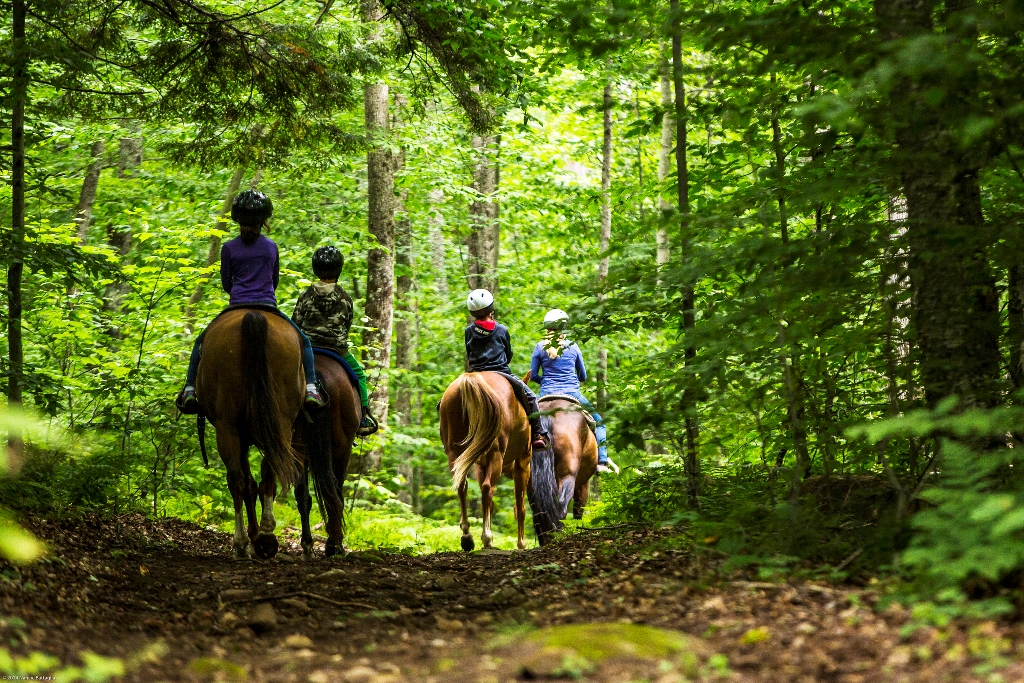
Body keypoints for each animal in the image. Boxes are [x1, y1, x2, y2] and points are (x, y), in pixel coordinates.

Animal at [195, 309, 331, 561]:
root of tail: (253, 315)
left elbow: (248, 483)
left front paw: (252, 538)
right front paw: (256, 537)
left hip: (230, 426)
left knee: (241, 478)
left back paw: (245, 541)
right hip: (277, 424)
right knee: (264, 472)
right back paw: (265, 537)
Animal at [290, 356, 362, 557]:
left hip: (297, 447)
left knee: (303, 497)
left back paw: (307, 544)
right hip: (341, 448)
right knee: (335, 495)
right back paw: (333, 545)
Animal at [438, 370, 532, 552]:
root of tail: (471, 379)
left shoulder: (480, 466)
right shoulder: (523, 464)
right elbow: (520, 506)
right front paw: (521, 543)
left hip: (455, 453)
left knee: (462, 486)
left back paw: (467, 537)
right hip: (496, 455)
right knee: (487, 488)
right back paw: (487, 538)